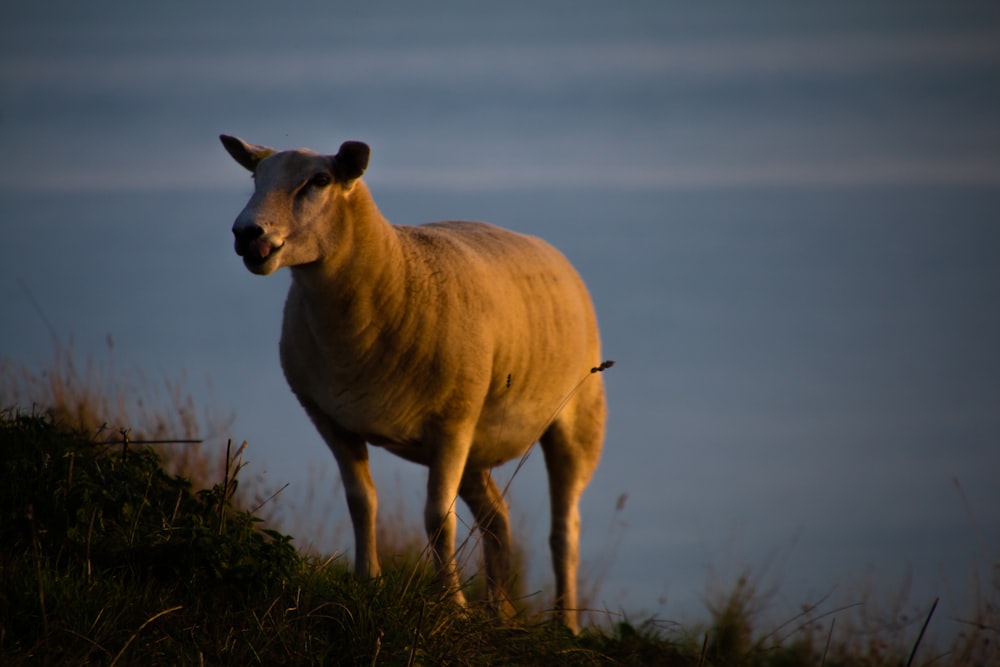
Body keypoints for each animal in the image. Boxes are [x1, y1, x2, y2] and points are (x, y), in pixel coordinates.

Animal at [222, 134, 604, 632]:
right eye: (256, 177)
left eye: (320, 181)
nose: (247, 234)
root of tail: (545, 248)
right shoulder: (330, 419)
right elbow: (362, 503)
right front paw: (368, 582)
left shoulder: (451, 424)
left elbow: (438, 519)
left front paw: (452, 606)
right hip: (476, 442)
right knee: (497, 517)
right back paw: (499, 612)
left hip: (575, 417)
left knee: (565, 530)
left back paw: (565, 623)